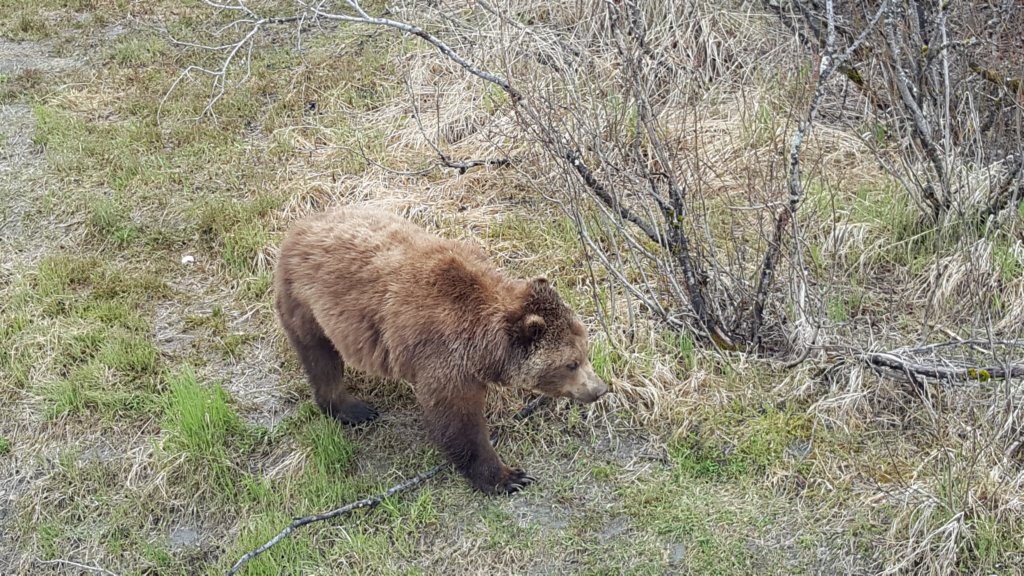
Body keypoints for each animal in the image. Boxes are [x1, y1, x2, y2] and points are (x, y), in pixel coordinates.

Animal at [272, 206, 606, 494]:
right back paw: (353, 409)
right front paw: (508, 477)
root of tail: (300, 224)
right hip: (306, 303)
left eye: (586, 351)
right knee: (321, 358)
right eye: (571, 363)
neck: (483, 344)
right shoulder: (443, 356)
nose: (599, 389)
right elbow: (457, 420)